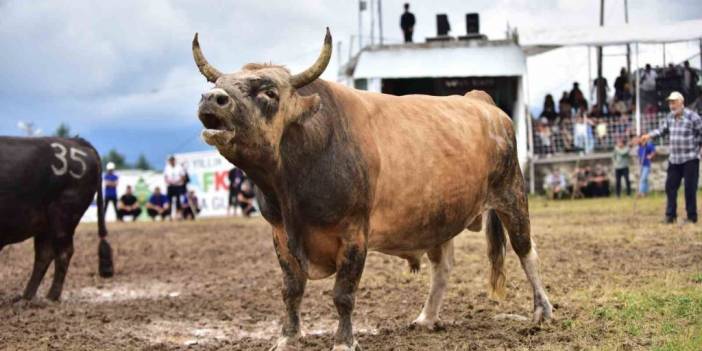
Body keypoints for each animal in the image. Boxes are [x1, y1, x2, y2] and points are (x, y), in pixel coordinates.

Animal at [0, 138, 114, 302]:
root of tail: (75, 141)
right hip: (46, 224)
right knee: (44, 255)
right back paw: (26, 298)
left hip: (63, 216)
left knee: (63, 252)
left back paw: (50, 297)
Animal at [194, 28, 556, 350]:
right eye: (216, 85)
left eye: (269, 92)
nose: (212, 99)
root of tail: (480, 101)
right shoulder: (281, 234)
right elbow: (291, 290)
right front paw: (287, 338)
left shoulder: (354, 234)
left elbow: (343, 294)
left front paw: (343, 342)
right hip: (439, 216)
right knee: (442, 268)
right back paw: (427, 318)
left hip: (512, 194)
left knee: (526, 251)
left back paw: (542, 310)